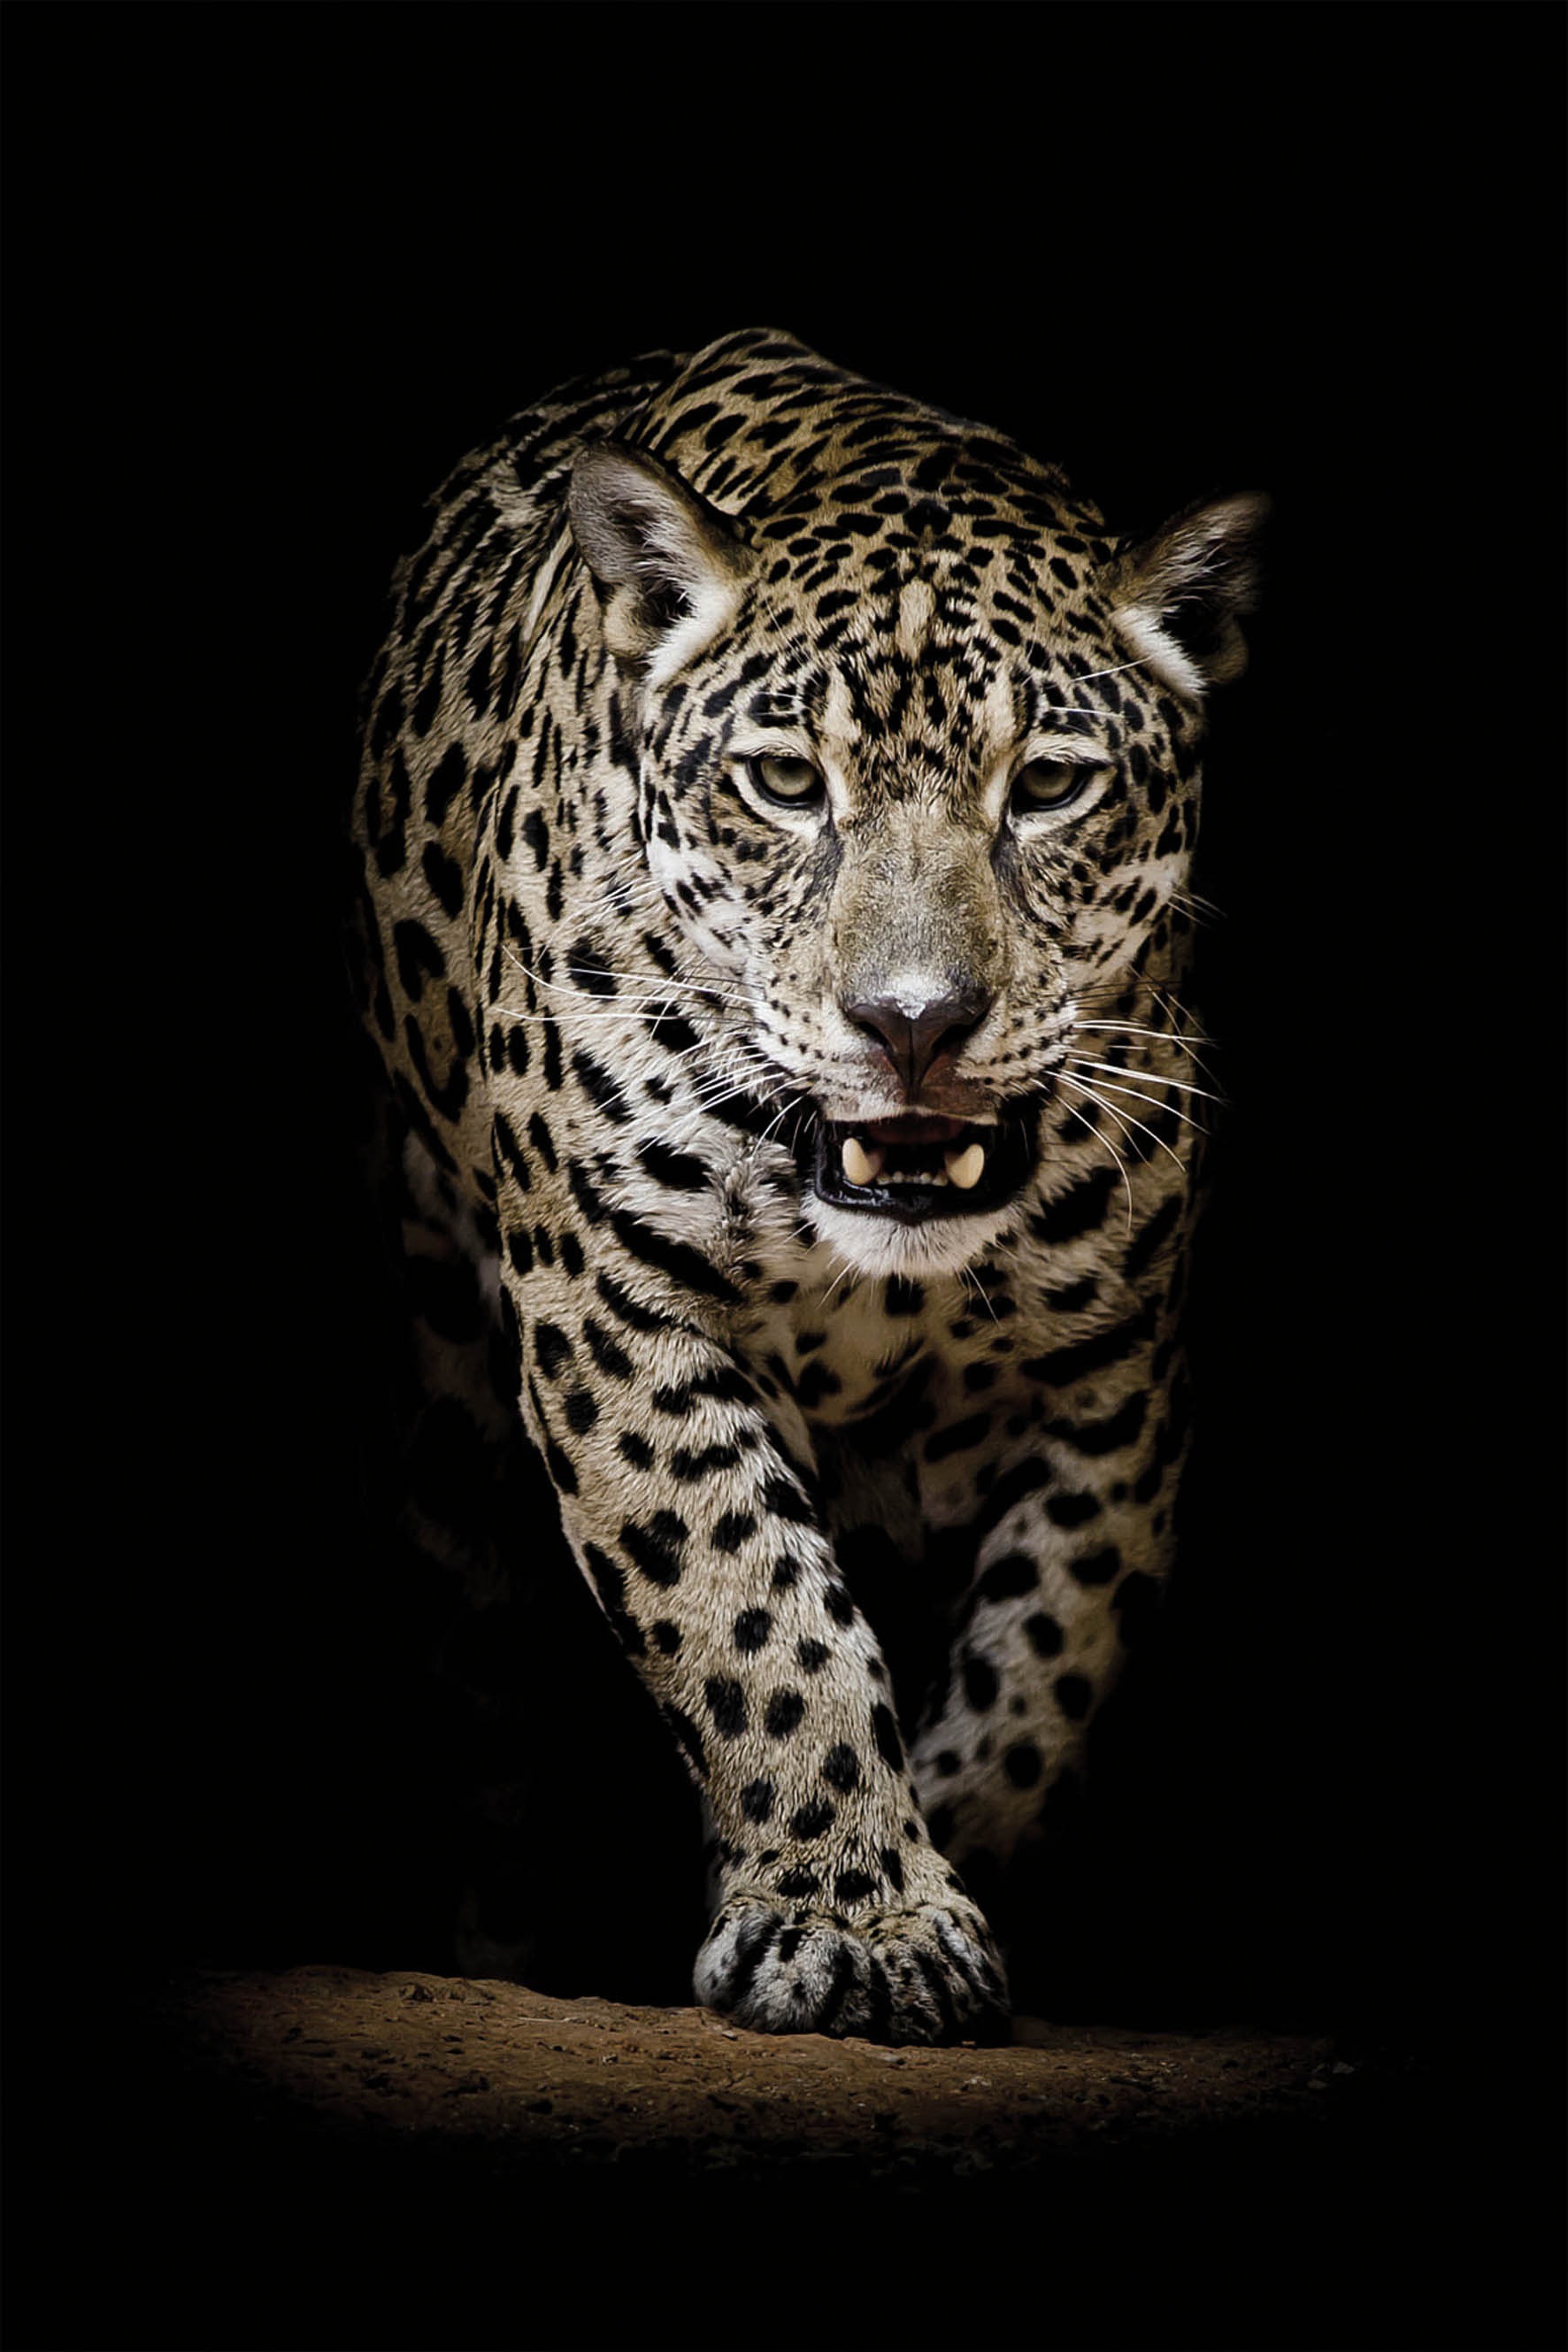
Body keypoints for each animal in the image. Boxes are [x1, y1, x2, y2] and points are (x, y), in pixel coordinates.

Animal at [348, 326, 1264, 2046]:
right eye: (781, 779)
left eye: (1049, 785)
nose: (912, 1020)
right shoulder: (617, 1307)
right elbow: (751, 1607)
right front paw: (855, 1915)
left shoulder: (1114, 1376)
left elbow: (1046, 1661)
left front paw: (924, 1867)